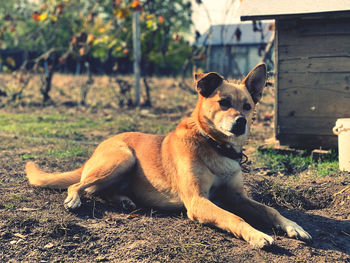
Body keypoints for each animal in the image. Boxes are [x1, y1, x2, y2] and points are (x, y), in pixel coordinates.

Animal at [26, 63, 312, 248]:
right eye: (223, 103)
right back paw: (75, 199)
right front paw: (256, 235)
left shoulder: (236, 196)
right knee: (79, 185)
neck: (214, 146)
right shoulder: (197, 201)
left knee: (99, 190)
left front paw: (293, 226)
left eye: (248, 106)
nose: (241, 123)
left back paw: (124, 200)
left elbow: (269, 209)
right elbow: (234, 217)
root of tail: (98, 148)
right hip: (122, 159)